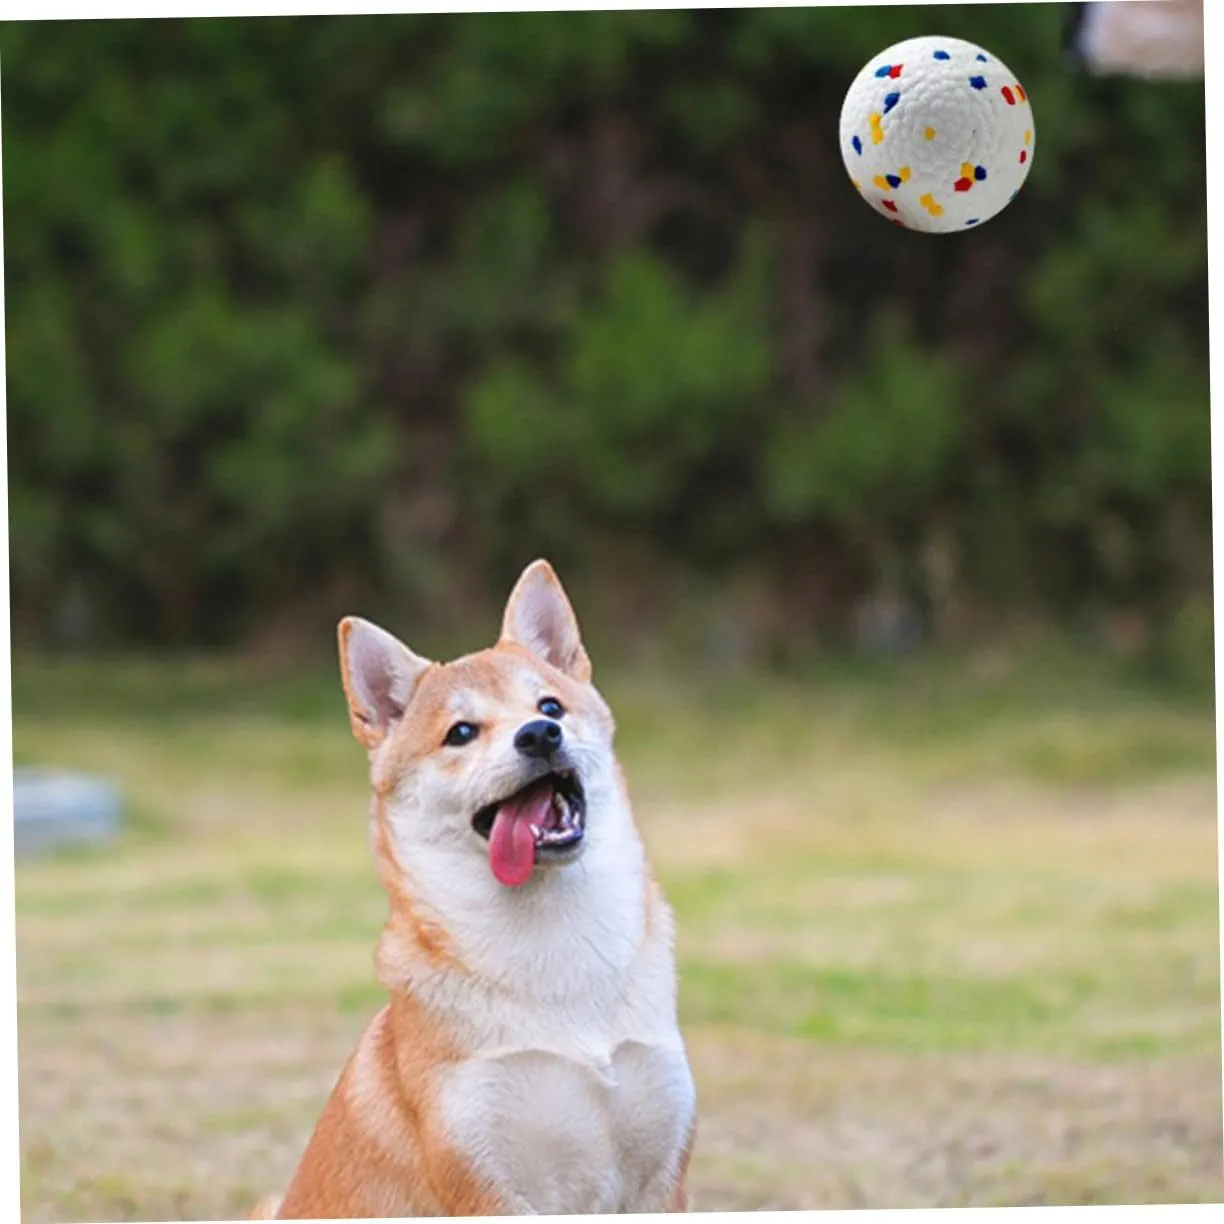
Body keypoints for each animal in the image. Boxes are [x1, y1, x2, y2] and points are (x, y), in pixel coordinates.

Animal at [258, 560, 700, 1214]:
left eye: (550, 705)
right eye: (461, 732)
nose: (539, 735)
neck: (556, 956)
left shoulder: (661, 1173)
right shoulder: (485, 1178)